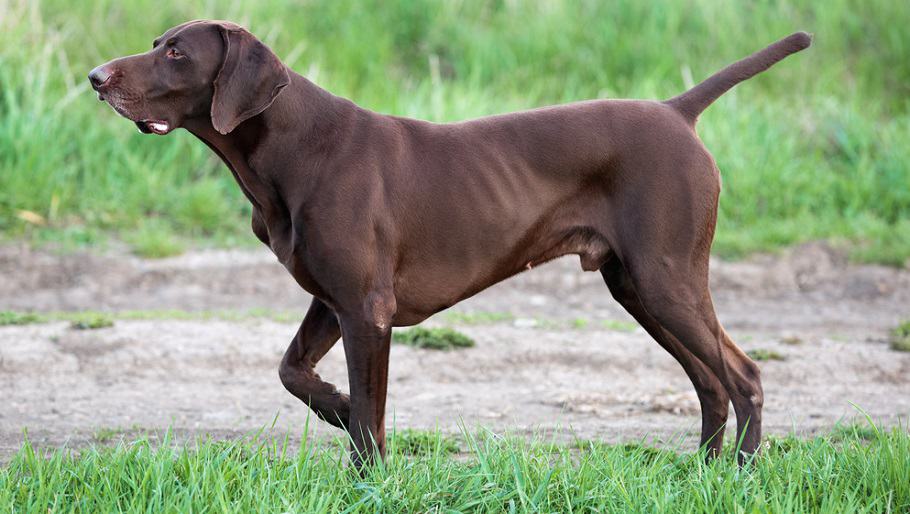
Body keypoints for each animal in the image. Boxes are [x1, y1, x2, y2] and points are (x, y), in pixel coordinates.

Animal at [91, 22, 812, 464]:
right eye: (157, 43)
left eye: (177, 53)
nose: (96, 77)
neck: (292, 147)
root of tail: (675, 111)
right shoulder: (332, 301)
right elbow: (294, 372)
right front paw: (336, 406)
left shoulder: (366, 311)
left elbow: (369, 424)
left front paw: (366, 472)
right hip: (637, 287)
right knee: (710, 382)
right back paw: (704, 470)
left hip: (667, 280)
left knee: (742, 377)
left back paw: (741, 474)